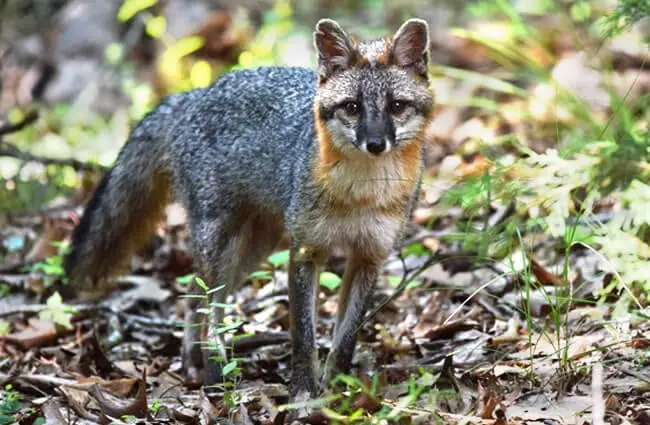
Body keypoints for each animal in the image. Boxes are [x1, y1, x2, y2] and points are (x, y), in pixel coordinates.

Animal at [63, 18, 436, 400]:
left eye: (396, 106)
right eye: (353, 107)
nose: (375, 144)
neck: (361, 193)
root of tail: (194, 95)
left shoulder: (369, 256)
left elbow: (345, 339)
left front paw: (336, 390)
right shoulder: (305, 251)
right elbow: (304, 337)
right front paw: (303, 394)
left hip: (252, 250)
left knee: (193, 297)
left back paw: (193, 362)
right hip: (221, 245)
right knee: (208, 311)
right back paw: (214, 375)